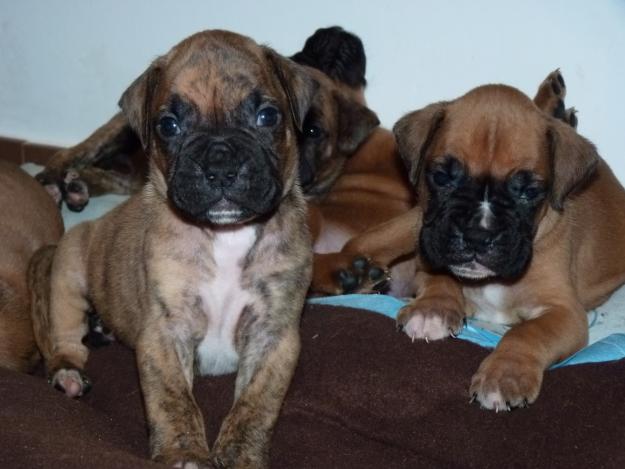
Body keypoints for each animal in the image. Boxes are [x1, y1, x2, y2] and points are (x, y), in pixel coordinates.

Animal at [32, 30, 314, 464]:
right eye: (169, 125)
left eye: (268, 116)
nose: (219, 165)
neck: (225, 235)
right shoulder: (166, 330)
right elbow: (172, 397)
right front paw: (183, 451)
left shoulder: (274, 335)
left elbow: (255, 404)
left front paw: (239, 455)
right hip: (68, 270)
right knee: (63, 334)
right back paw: (68, 370)